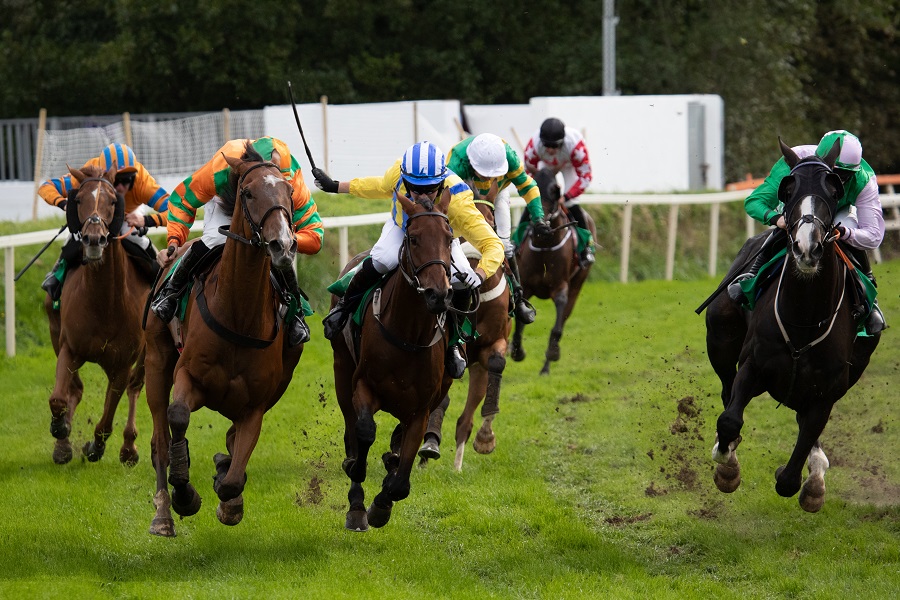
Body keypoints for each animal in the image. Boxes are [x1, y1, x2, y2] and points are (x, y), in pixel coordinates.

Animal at [44, 166, 148, 466]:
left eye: (113, 201)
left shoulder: (122, 364)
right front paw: (61, 431)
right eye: (78, 200)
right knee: (75, 389)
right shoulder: (69, 347)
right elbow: (59, 397)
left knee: (135, 387)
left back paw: (129, 447)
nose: (93, 239)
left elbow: (106, 421)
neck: (105, 303)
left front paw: (96, 447)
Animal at [143, 144, 302, 536]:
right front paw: (186, 493)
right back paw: (163, 513)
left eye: (289, 191)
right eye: (248, 192)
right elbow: (178, 418)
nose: (282, 245)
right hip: (156, 360)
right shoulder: (188, 376)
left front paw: (226, 494)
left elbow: (232, 476)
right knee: (159, 438)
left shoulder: (256, 405)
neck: (238, 313)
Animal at [330, 189, 454, 528]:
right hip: (341, 369)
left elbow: (401, 480)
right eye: (413, 238)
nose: (438, 294)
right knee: (351, 427)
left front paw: (383, 503)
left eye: (450, 237)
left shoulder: (421, 408)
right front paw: (358, 487)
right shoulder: (363, 386)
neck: (408, 336)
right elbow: (364, 432)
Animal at [510, 168, 596, 376]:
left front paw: (552, 353)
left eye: (555, 192)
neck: (545, 246)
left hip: (577, 284)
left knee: (564, 318)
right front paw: (516, 351)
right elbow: (520, 320)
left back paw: (546, 366)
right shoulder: (526, 285)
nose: (540, 224)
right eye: (534, 188)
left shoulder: (560, 288)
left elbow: (557, 326)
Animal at [704, 139, 880, 510]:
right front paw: (727, 467)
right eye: (788, 187)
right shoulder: (753, 365)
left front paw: (811, 482)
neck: (804, 320)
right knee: (726, 390)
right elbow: (729, 419)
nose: (806, 246)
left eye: (834, 188)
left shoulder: (826, 391)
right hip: (721, 337)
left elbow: (792, 471)